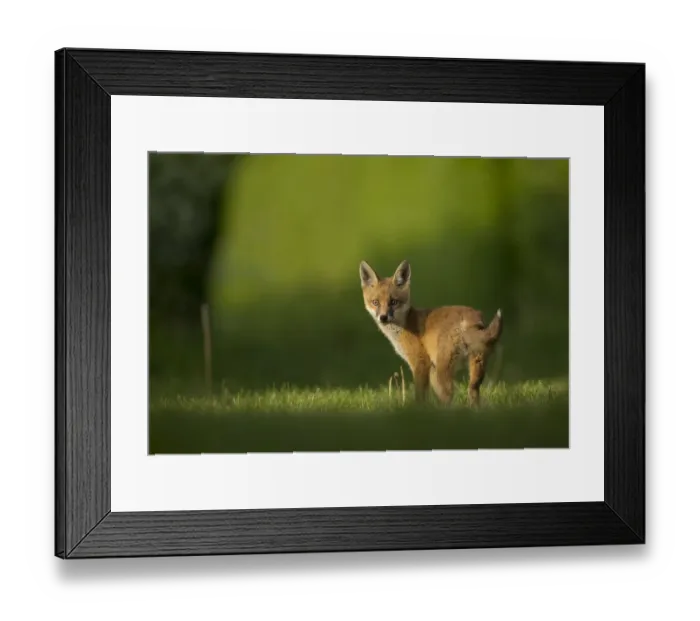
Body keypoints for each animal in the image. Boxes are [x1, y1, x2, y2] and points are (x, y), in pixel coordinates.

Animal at [359, 259, 503, 406]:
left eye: (393, 302)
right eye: (375, 302)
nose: (383, 317)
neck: (405, 324)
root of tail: (471, 316)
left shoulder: (420, 363)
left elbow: (420, 395)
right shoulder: (431, 369)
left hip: (442, 369)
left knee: (448, 394)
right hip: (475, 366)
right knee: (472, 391)